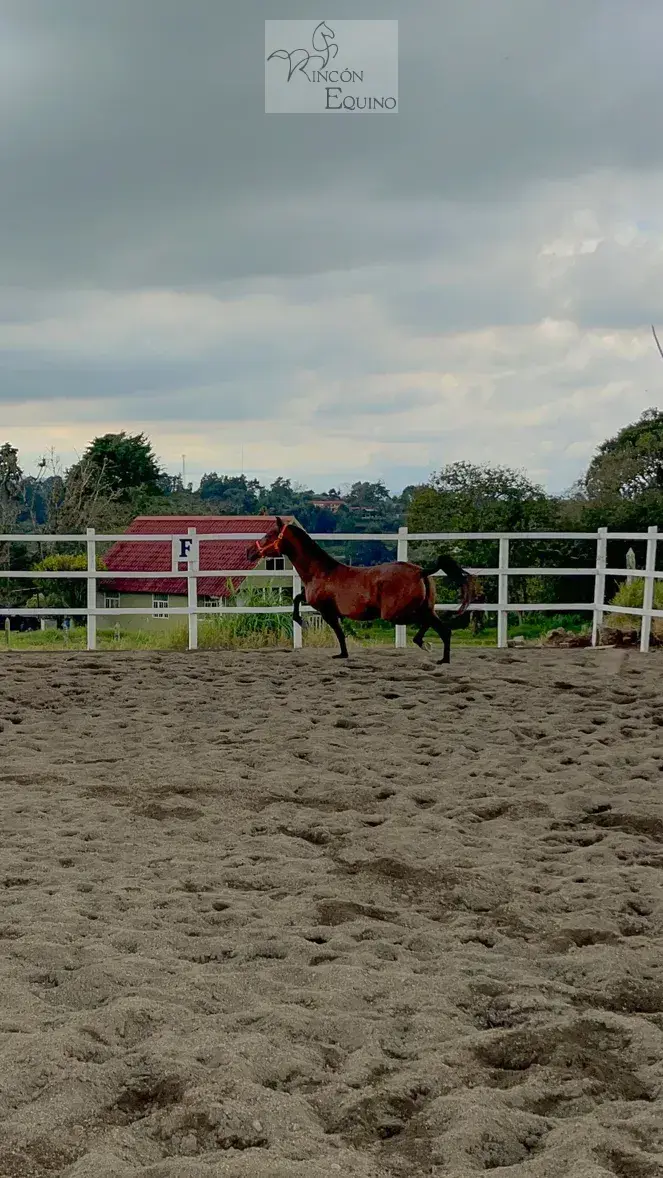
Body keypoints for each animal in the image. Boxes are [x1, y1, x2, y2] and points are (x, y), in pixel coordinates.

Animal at [246, 518, 479, 664]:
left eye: (270, 534)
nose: (249, 552)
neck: (321, 571)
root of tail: (421, 571)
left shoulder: (326, 611)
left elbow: (338, 632)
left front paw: (340, 653)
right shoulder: (315, 602)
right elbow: (297, 597)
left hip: (397, 613)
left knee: (430, 624)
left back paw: (424, 644)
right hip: (423, 608)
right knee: (442, 629)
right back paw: (442, 658)